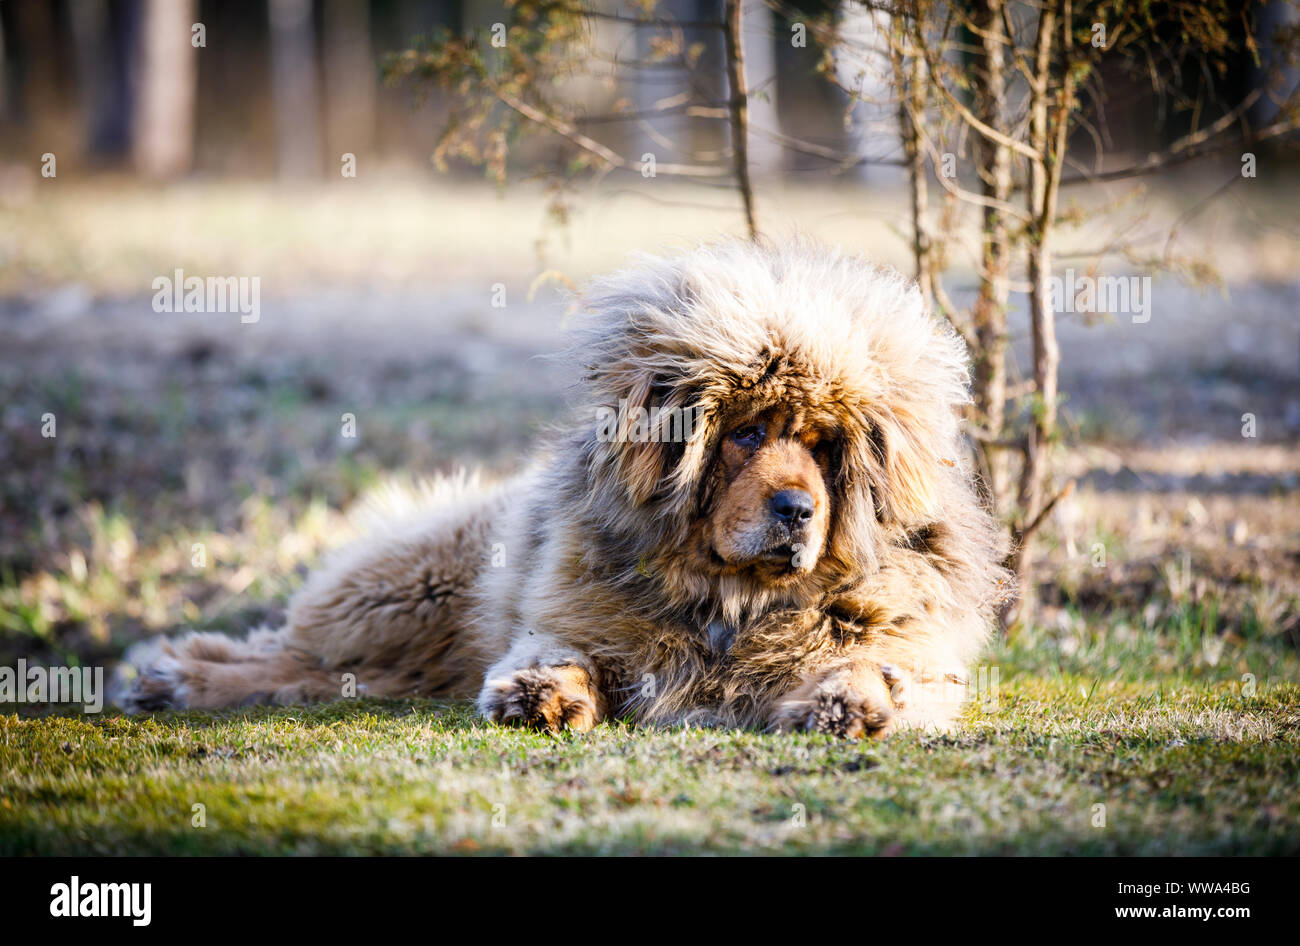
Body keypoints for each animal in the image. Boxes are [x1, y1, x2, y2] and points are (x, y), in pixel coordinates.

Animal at [116, 237, 1008, 738]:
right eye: (747, 432)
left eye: (825, 448)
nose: (798, 511)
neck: (730, 599)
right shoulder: (570, 617)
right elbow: (563, 649)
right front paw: (541, 693)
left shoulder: (908, 646)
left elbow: (871, 663)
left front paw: (850, 701)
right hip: (401, 593)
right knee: (288, 651)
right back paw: (173, 677)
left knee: (322, 673)